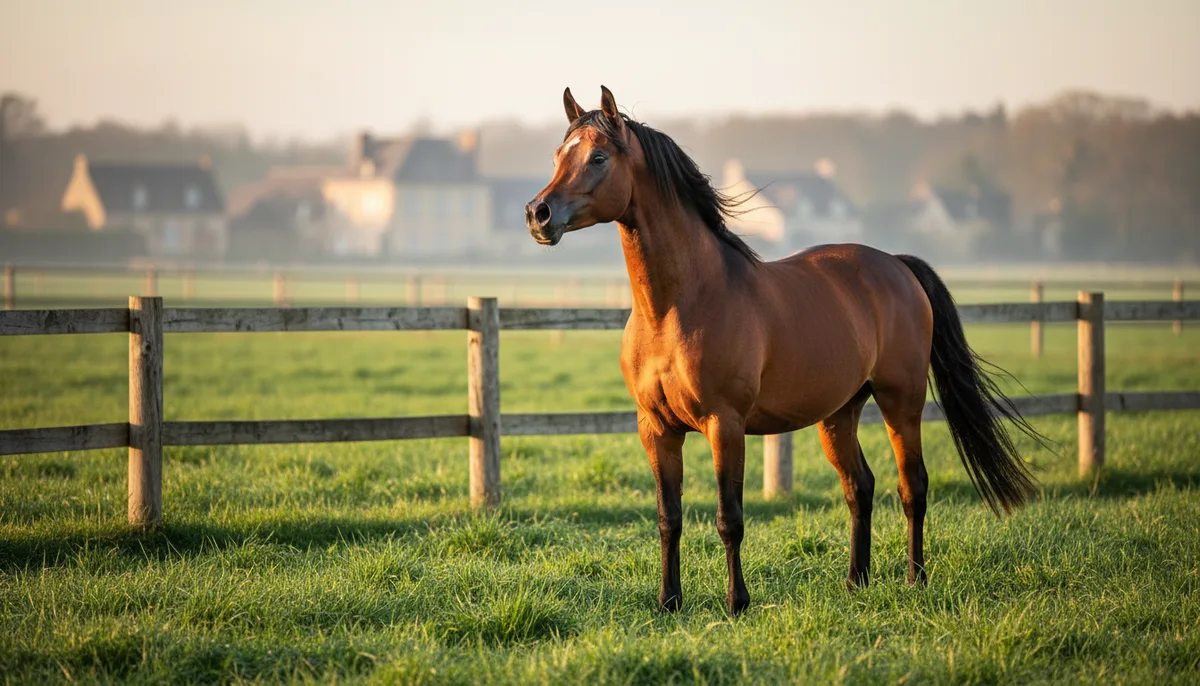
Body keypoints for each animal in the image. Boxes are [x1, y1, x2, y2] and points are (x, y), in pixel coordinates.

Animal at [525, 86, 1043, 616]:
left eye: (599, 157)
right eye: (559, 154)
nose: (538, 215)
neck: (676, 308)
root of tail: (897, 266)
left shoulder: (725, 425)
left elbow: (729, 518)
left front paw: (737, 603)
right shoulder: (656, 429)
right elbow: (669, 517)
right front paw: (669, 601)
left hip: (902, 402)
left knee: (911, 486)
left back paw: (915, 580)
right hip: (839, 413)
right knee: (860, 486)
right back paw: (856, 581)